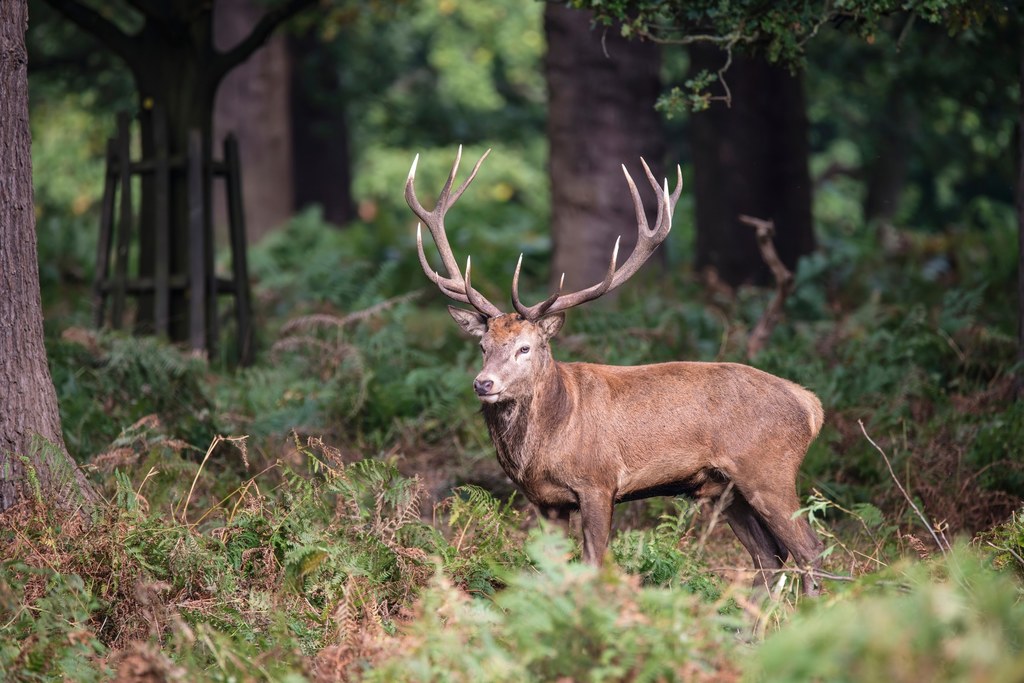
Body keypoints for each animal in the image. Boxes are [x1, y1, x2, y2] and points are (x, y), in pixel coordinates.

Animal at [403, 147, 827, 593]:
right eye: (482, 346)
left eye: (525, 347)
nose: (484, 384)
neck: (544, 445)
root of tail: (811, 405)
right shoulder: (545, 501)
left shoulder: (598, 482)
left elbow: (594, 563)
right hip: (724, 489)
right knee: (770, 556)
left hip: (768, 470)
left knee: (810, 550)